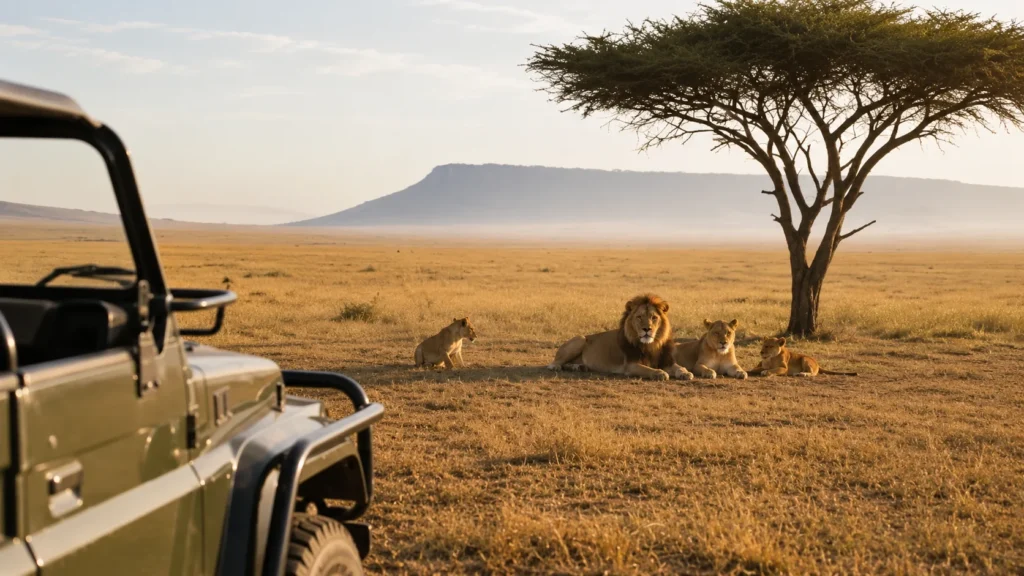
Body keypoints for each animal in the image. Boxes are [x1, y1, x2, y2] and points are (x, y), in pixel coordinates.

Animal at [546, 294, 693, 381]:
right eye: (639, 317)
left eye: (654, 317)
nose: (647, 329)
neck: (650, 345)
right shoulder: (630, 365)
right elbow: (648, 369)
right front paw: (660, 373)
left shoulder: (666, 361)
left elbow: (680, 367)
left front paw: (686, 373)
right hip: (580, 339)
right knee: (554, 363)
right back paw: (557, 367)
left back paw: (579, 367)